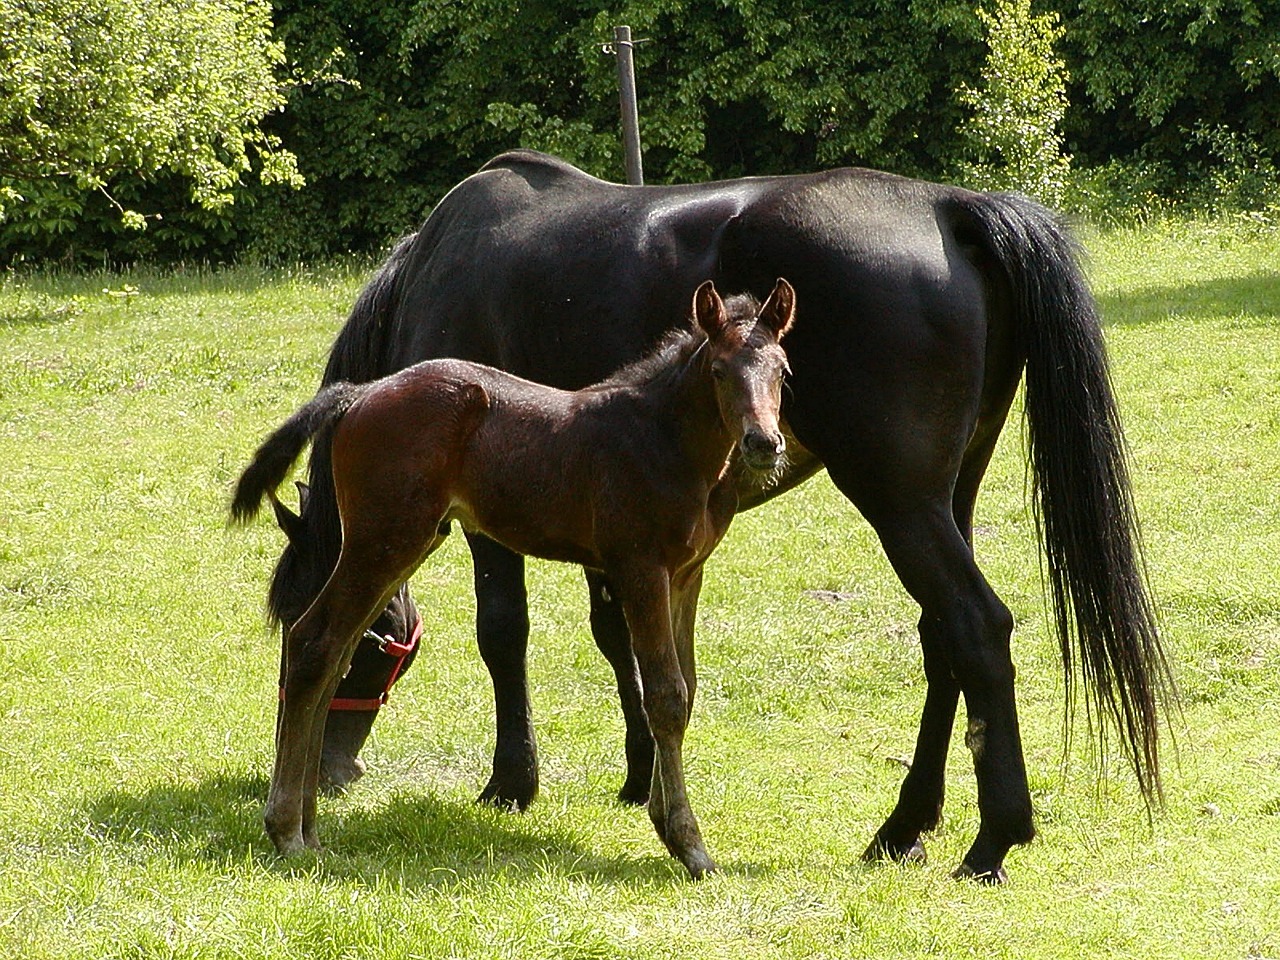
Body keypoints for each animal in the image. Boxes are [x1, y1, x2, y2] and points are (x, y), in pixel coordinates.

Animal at [257, 148, 1172, 880]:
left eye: (379, 649)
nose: (333, 769)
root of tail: (951, 206)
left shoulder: (496, 527)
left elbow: (504, 632)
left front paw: (513, 783)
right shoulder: (618, 533)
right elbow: (623, 640)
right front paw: (639, 778)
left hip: (901, 501)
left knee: (977, 627)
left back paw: (992, 840)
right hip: (949, 497)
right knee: (942, 634)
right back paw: (904, 826)